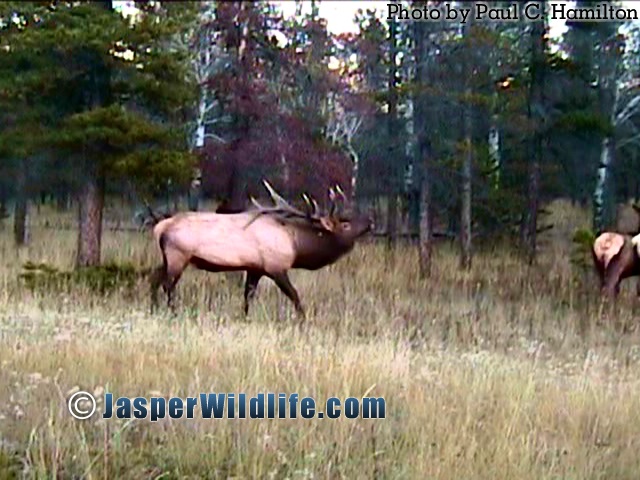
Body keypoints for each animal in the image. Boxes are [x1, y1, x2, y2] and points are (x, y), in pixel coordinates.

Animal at [148, 180, 372, 322]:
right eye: (345, 224)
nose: (370, 222)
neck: (296, 246)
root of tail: (160, 227)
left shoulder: (255, 268)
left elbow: (248, 297)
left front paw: (245, 318)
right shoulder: (275, 267)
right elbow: (295, 296)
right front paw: (303, 321)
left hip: (167, 258)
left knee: (153, 279)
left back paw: (153, 310)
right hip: (178, 255)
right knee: (168, 285)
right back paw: (173, 313)